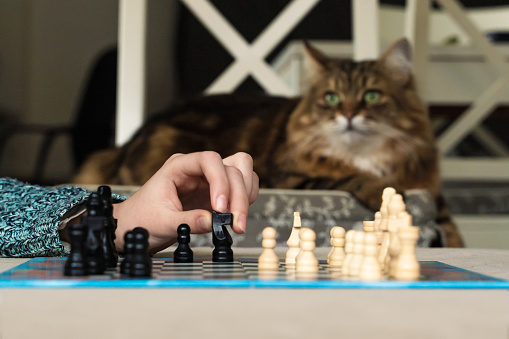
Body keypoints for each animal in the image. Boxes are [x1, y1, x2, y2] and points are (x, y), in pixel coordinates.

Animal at [72, 39, 464, 247]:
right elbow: (353, 177)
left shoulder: (431, 188)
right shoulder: (292, 176)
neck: (365, 155)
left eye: (372, 96)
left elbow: (448, 222)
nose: (349, 115)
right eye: (331, 98)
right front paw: (384, 191)